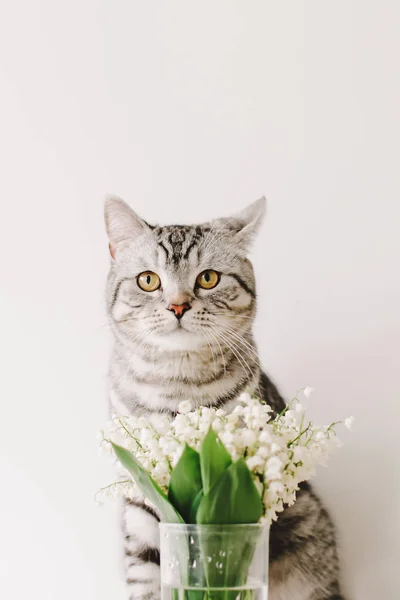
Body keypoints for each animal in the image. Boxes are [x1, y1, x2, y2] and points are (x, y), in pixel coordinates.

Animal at [104, 196, 346, 600]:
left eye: (208, 278)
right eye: (148, 280)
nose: (178, 305)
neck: (178, 387)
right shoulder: (141, 495)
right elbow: (147, 574)